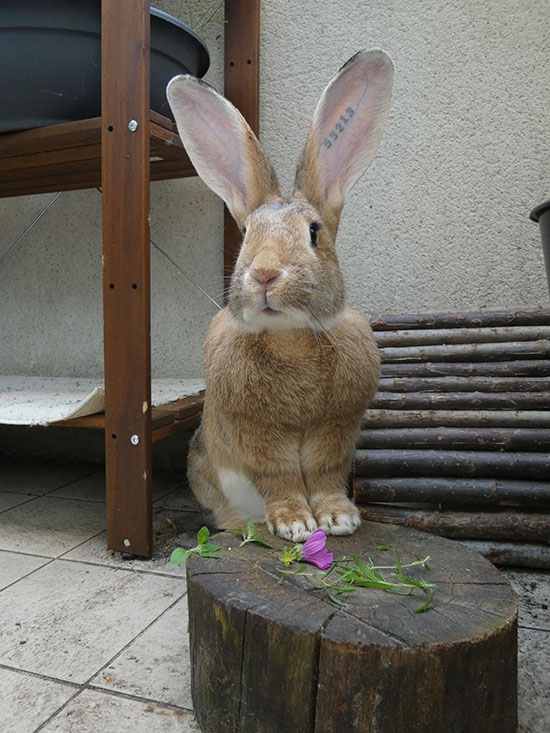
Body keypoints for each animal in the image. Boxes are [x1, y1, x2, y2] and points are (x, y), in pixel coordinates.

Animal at [167, 49, 393, 542]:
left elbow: (326, 475)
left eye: (314, 233)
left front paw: (338, 519)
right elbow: (281, 477)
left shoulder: (336, 431)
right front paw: (295, 526)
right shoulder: (258, 437)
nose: (266, 275)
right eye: (246, 234)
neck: (291, 338)